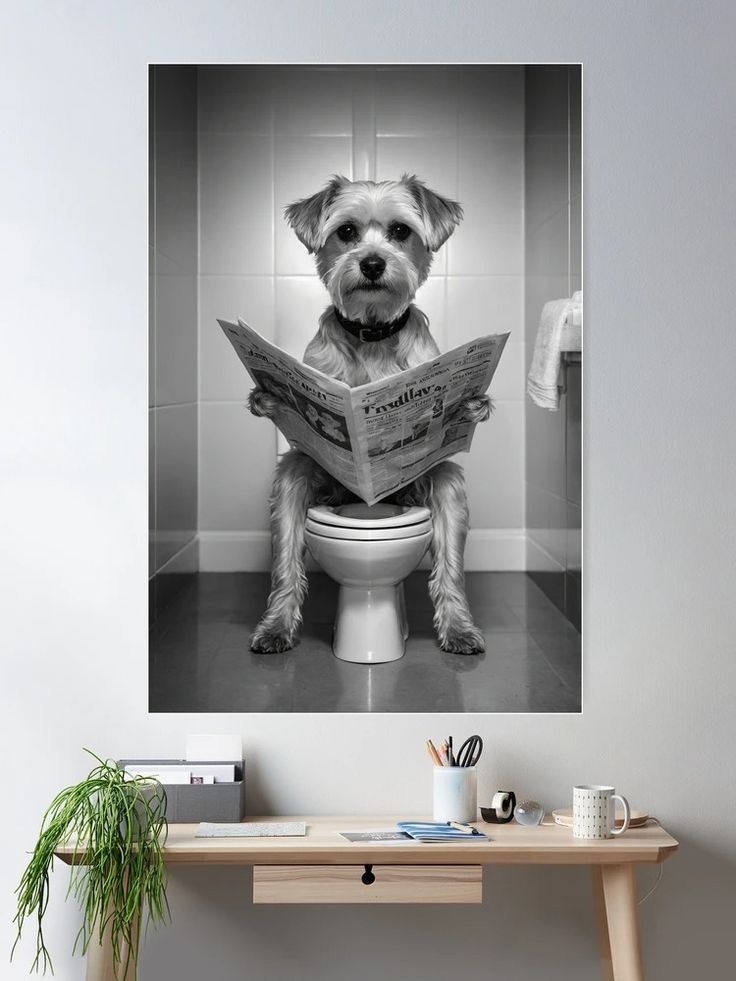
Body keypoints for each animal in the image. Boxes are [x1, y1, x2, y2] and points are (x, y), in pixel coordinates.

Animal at [247, 173, 488, 656]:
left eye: (400, 231)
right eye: (346, 232)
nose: (373, 264)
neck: (372, 331)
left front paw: (472, 402)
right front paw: (266, 395)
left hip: (443, 486)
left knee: (450, 567)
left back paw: (459, 628)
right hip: (296, 482)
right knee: (286, 562)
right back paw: (275, 626)